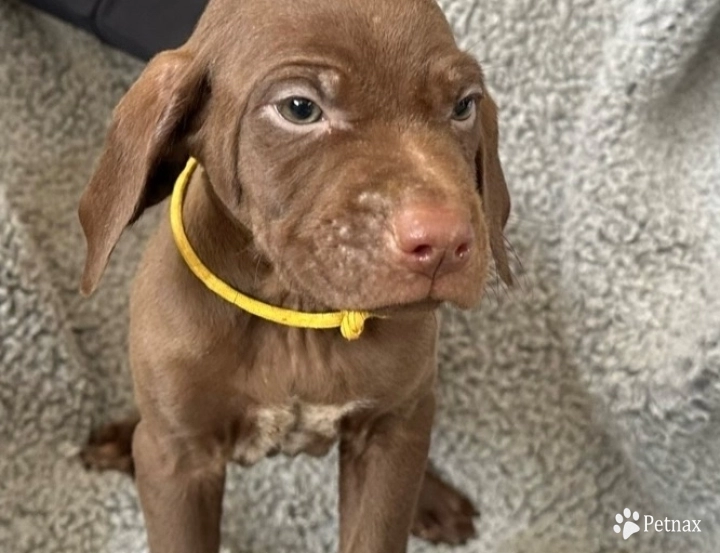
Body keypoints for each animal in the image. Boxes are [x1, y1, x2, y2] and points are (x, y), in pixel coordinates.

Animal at [79, 1, 512, 552]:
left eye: (463, 107)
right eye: (300, 109)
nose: (443, 242)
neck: (294, 315)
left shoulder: (387, 440)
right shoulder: (179, 462)